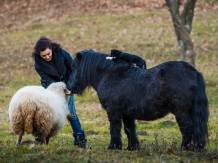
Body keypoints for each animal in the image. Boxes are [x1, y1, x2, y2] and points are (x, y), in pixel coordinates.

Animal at [67, 49, 209, 152]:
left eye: (74, 68)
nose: (68, 86)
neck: (108, 74)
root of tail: (194, 71)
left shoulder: (113, 111)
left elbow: (115, 128)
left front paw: (114, 146)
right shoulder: (127, 114)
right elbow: (129, 130)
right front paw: (132, 147)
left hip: (181, 111)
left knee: (187, 127)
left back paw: (184, 148)